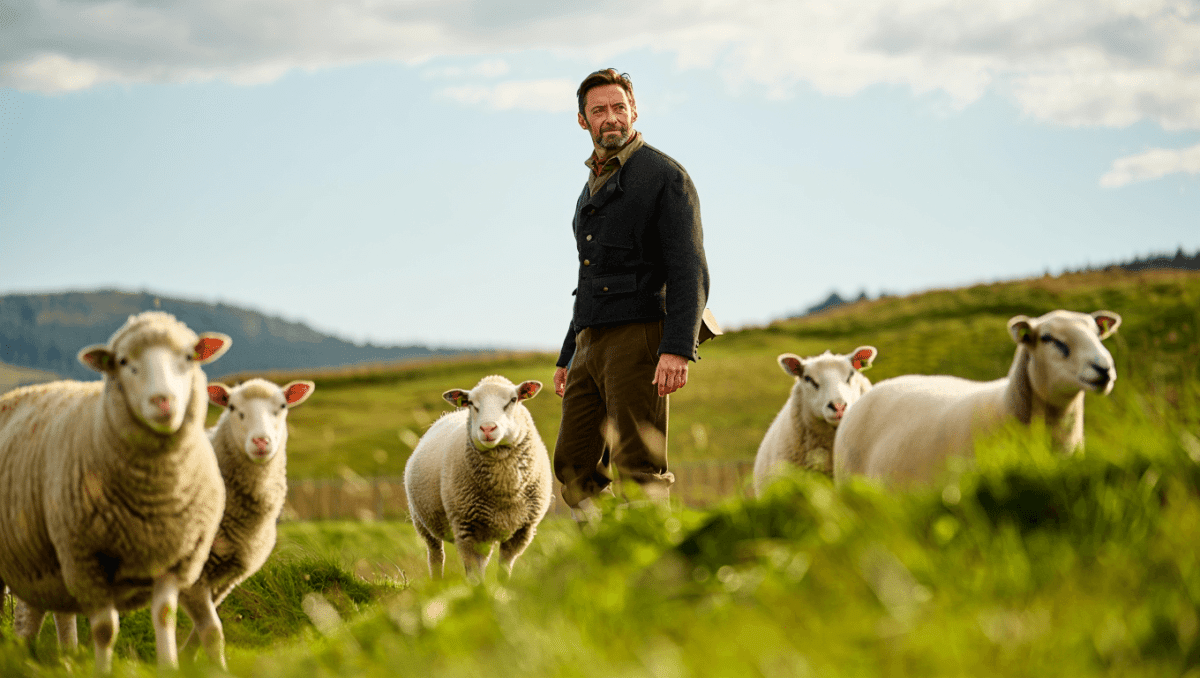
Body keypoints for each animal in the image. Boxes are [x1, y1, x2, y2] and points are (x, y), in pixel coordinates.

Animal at [0, 311, 230, 672]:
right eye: (123, 361)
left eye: (189, 357)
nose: (163, 401)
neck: (154, 497)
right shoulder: (86, 560)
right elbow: (105, 629)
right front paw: (102, 670)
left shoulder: (173, 560)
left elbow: (164, 616)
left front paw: (169, 667)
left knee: (38, 616)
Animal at [404, 375, 552, 582]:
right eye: (472, 403)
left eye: (513, 399)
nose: (488, 428)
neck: (505, 489)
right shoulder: (467, 529)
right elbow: (475, 576)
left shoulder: (522, 531)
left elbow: (504, 569)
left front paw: (502, 589)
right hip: (423, 522)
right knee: (436, 555)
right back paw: (436, 582)